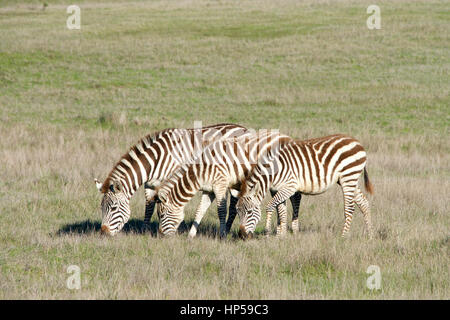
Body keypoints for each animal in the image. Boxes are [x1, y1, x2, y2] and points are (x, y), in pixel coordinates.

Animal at [93, 122, 248, 235]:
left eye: (113, 208)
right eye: (101, 208)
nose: (103, 232)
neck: (154, 161)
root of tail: (243, 128)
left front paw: (176, 227)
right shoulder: (150, 185)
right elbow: (149, 207)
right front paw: (144, 231)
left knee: (233, 207)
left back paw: (226, 230)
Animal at [155, 130, 302, 238]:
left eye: (162, 215)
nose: (160, 235)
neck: (202, 169)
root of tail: (287, 137)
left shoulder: (220, 185)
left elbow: (221, 211)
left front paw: (223, 235)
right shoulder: (208, 190)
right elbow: (200, 210)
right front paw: (191, 235)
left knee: (295, 198)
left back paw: (292, 230)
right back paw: (281, 230)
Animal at [234, 134, 374, 239]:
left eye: (250, 212)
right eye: (237, 212)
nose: (242, 235)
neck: (273, 173)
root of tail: (357, 142)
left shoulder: (289, 187)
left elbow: (270, 206)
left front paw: (268, 233)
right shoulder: (277, 189)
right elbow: (281, 212)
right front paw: (281, 237)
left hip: (348, 176)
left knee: (350, 208)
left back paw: (343, 237)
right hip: (348, 179)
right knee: (364, 202)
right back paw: (369, 234)